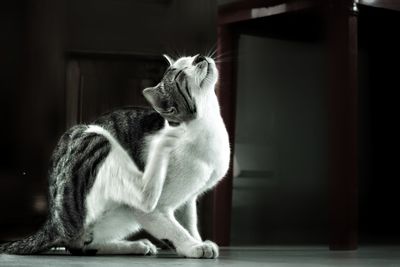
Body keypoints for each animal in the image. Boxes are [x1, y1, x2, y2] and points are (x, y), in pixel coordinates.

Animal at [0, 55, 230, 260]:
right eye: (181, 74)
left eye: (190, 57)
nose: (199, 57)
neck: (206, 126)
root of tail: (52, 221)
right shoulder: (157, 210)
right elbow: (175, 230)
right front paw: (193, 247)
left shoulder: (188, 200)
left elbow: (189, 224)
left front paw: (197, 240)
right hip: (95, 138)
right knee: (139, 199)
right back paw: (163, 142)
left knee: (82, 246)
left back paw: (136, 245)